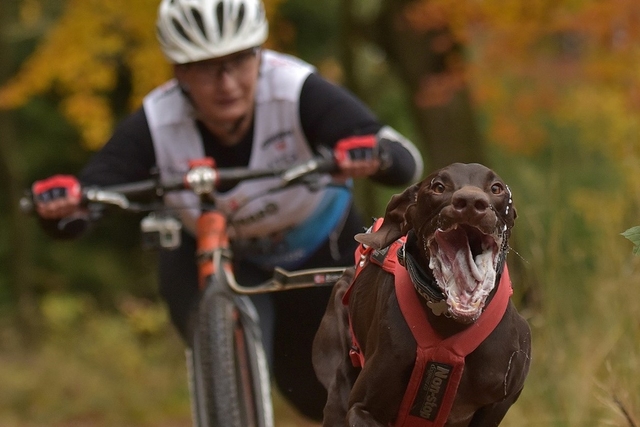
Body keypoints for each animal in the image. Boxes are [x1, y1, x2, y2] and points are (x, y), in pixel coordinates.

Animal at [312, 162, 532, 426]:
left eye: (496, 188)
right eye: (438, 186)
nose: (471, 202)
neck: (449, 322)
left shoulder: (498, 404)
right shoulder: (361, 408)